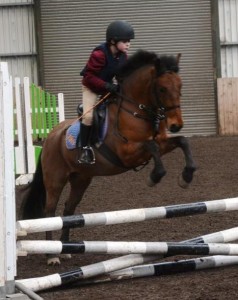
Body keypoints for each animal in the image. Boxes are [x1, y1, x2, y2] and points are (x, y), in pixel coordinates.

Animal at [20, 49, 196, 264]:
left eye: (180, 85)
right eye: (162, 89)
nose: (176, 125)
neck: (136, 110)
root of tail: (52, 136)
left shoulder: (162, 142)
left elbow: (182, 142)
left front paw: (186, 177)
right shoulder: (127, 154)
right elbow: (152, 146)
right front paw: (154, 177)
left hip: (81, 178)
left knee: (69, 209)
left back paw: (66, 248)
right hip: (55, 179)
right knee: (50, 211)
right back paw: (52, 255)